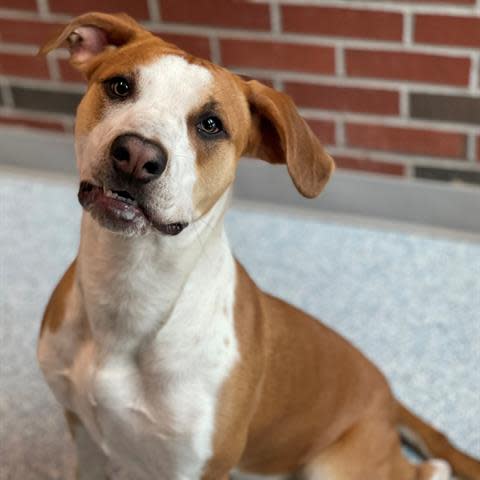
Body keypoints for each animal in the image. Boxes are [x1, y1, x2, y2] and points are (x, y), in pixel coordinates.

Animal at [38, 11, 480, 480]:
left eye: (211, 125)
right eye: (120, 86)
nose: (137, 155)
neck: (129, 287)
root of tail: (387, 395)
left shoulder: (196, 467)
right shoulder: (82, 429)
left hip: (333, 464)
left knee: (428, 469)